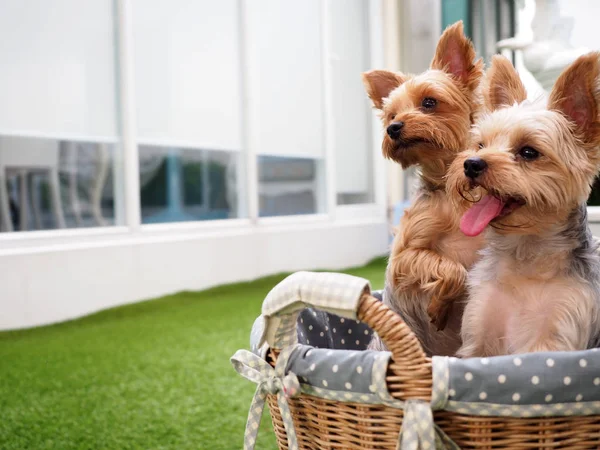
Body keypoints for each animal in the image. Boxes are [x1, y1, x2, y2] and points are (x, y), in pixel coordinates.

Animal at [360, 22, 482, 356]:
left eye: (429, 102)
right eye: (391, 115)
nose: (393, 128)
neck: (452, 188)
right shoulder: (403, 258)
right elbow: (454, 269)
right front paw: (439, 305)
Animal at [448, 52, 600, 356]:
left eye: (529, 152)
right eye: (480, 145)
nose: (471, 164)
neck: (525, 259)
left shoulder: (559, 330)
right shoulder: (478, 331)